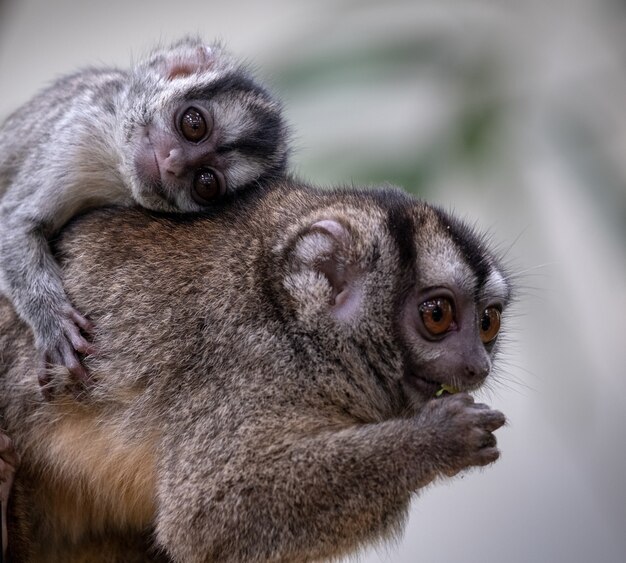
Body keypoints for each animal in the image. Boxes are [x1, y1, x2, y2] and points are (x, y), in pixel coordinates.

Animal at [0, 35, 288, 388]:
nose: (174, 163)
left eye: (206, 182)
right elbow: (16, 222)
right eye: (194, 124)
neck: (116, 168)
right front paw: (53, 322)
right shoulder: (78, 132)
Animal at [0, 181, 512, 563]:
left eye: (488, 323)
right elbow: (206, 518)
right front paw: (442, 437)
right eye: (437, 315)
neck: (294, 329)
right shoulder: (246, 366)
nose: (477, 364)